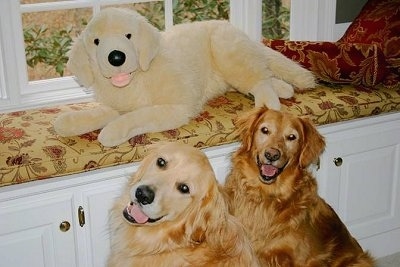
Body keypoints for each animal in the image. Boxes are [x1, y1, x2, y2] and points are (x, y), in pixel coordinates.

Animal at [54, 7, 316, 148]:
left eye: (128, 36)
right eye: (96, 41)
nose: (116, 57)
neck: (136, 79)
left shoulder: (175, 108)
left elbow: (137, 116)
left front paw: (111, 132)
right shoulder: (116, 105)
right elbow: (99, 113)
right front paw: (67, 121)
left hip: (227, 50)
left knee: (259, 80)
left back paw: (269, 104)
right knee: (263, 75)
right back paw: (284, 89)